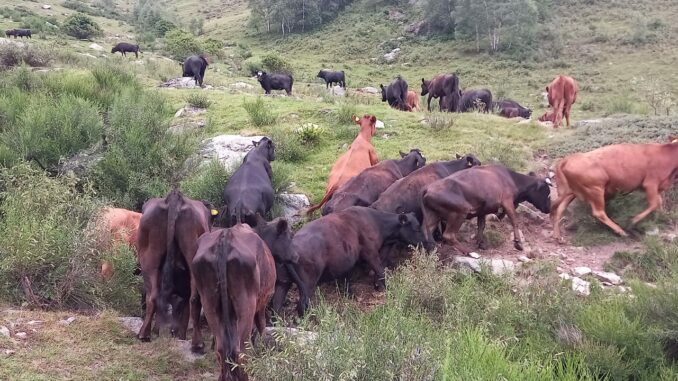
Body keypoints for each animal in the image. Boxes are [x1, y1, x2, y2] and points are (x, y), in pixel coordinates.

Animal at [136, 189, 212, 352]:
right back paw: (197, 343)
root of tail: (174, 197)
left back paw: (144, 334)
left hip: (149, 257)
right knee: (193, 299)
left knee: (153, 296)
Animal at [193, 223, 278, 380]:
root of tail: (225, 236)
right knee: (240, 350)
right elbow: (262, 326)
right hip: (246, 303)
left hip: (209, 303)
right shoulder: (261, 304)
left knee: (222, 348)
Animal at [274, 206, 428, 314]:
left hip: (283, 283)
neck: (376, 222)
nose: (427, 242)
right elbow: (380, 271)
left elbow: (348, 280)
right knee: (302, 306)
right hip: (308, 284)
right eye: (417, 228)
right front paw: (386, 289)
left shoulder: (348, 262)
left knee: (276, 306)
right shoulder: (370, 253)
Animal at [422, 165, 556, 254]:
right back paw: (469, 252)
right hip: (459, 212)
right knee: (448, 235)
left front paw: (480, 242)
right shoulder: (507, 201)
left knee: (427, 235)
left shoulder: (483, 210)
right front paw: (518, 243)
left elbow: (481, 225)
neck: (510, 178)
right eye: (546, 191)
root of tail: (428, 189)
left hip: (433, 217)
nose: (548, 208)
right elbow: (514, 220)